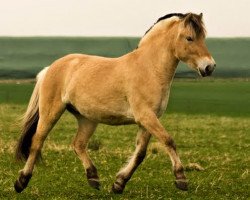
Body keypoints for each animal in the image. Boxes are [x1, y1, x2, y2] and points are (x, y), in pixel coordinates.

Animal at [14, 12, 216, 194]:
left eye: (203, 37)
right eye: (189, 38)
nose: (209, 67)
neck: (149, 69)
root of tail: (51, 68)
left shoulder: (148, 120)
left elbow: (140, 153)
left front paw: (119, 183)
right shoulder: (146, 116)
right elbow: (168, 141)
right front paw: (181, 179)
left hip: (87, 119)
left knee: (78, 144)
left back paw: (93, 178)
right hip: (51, 112)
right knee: (37, 142)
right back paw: (21, 182)